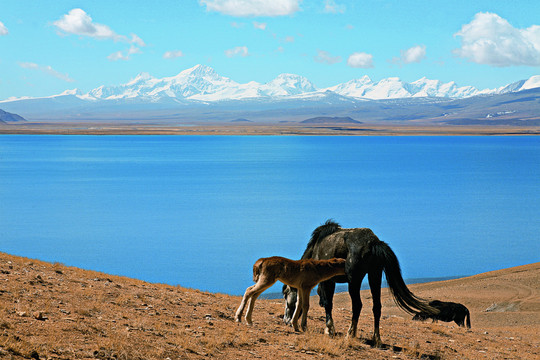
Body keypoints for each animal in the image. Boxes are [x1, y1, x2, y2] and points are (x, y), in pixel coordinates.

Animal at [282, 219, 438, 346]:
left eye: (286, 295)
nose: (286, 320)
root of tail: (374, 242)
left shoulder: (327, 281)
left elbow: (328, 303)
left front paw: (329, 329)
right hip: (374, 276)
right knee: (377, 307)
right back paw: (376, 339)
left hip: (354, 280)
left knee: (357, 305)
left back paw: (350, 334)